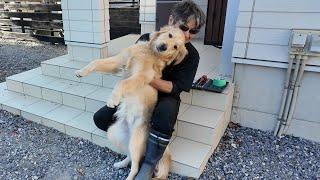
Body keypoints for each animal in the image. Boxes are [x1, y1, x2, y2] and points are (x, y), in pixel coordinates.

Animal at [74, 25, 188, 180]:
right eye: (170, 35)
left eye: (175, 47)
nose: (164, 47)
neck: (149, 51)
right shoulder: (118, 61)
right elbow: (96, 62)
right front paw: (81, 72)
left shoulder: (143, 75)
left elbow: (122, 83)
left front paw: (113, 99)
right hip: (114, 134)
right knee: (131, 157)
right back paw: (121, 163)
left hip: (135, 141)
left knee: (136, 166)